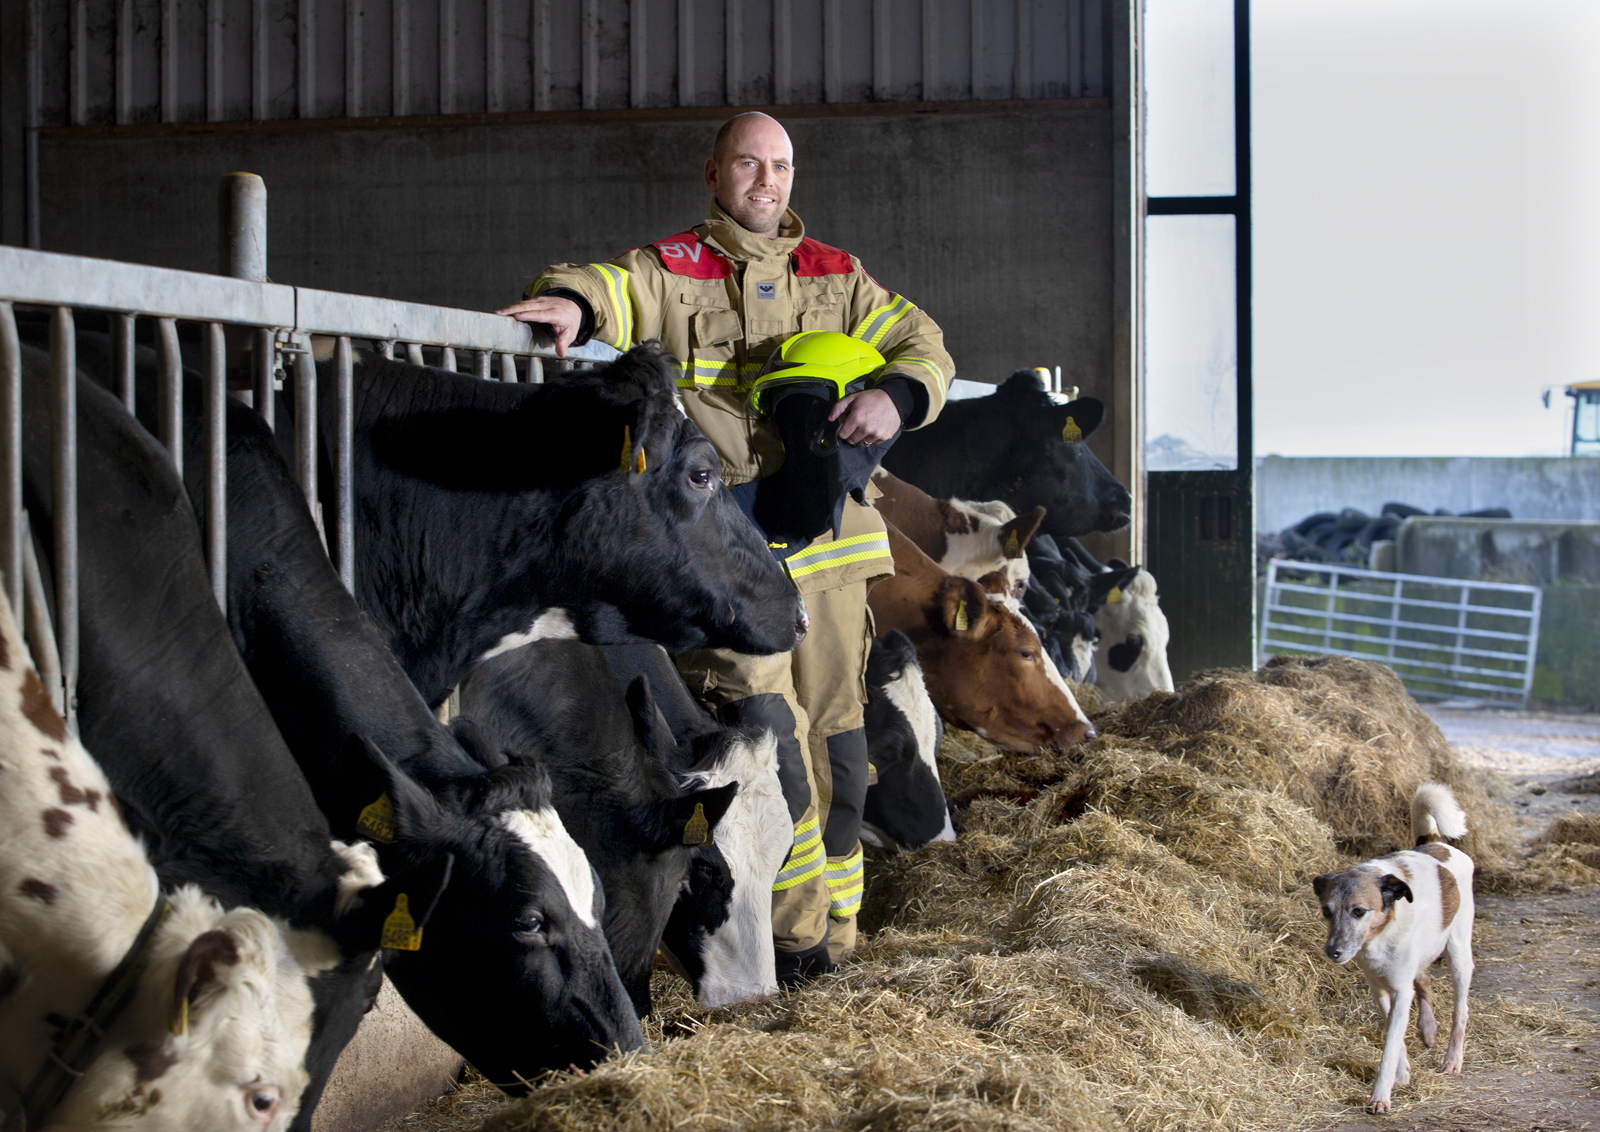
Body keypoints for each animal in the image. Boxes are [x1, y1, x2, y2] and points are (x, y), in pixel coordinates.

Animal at [1312, 783, 1472, 1112]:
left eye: (1359, 911)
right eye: (1326, 911)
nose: (1333, 952)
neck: (1380, 935)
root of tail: (1435, 844)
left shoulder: (1399, 990)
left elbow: (1390, 1045)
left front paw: (1380, 1096)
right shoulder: (1381, 989)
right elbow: (1393, 1034)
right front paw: (1403, 1072)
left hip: (1459, 954)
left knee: (1460, 1012)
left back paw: (1452, 1059)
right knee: (1424, 982)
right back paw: (1428, 1028)